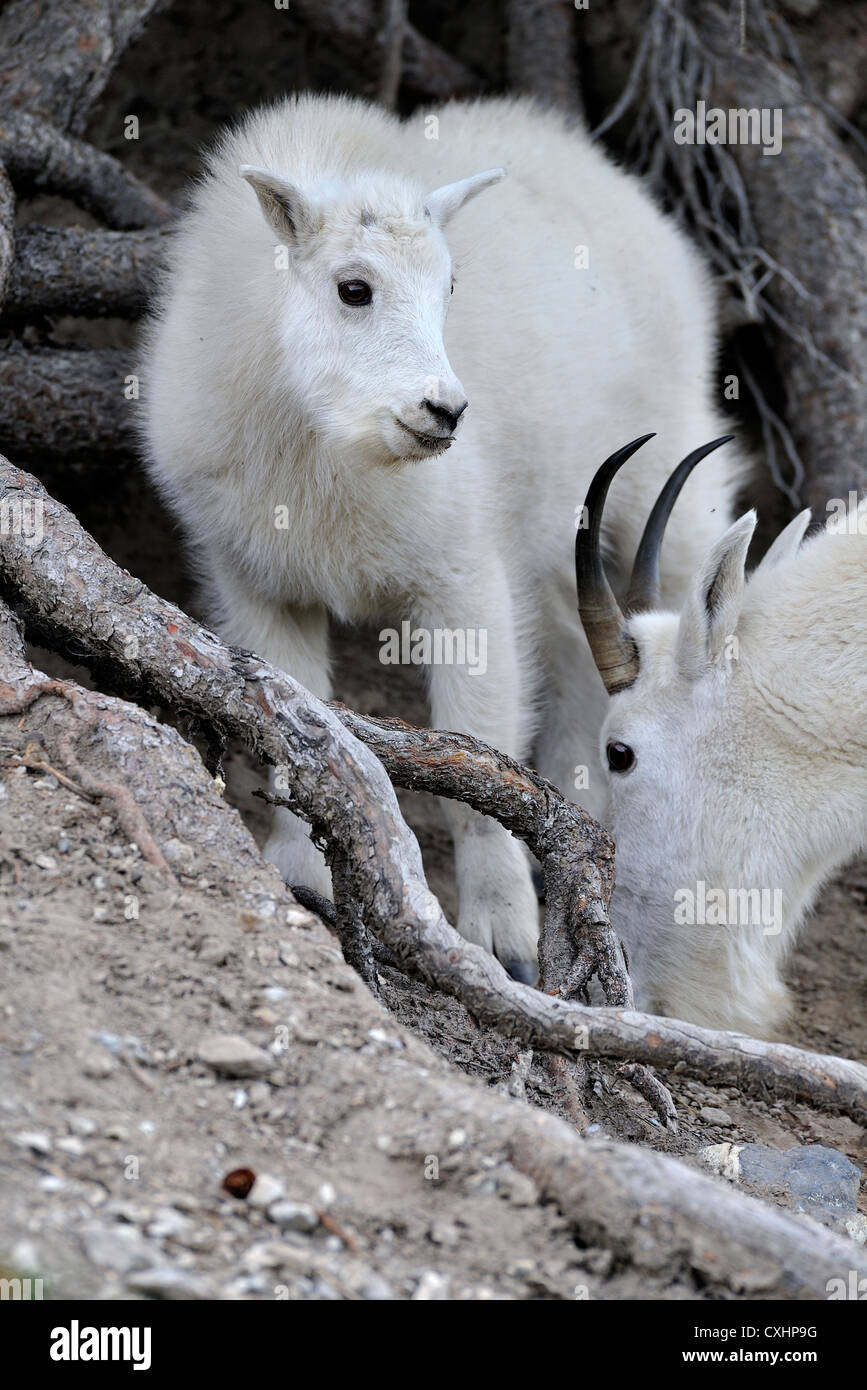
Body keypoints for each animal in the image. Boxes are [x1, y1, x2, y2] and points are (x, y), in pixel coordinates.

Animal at [141, 93, 744, 977]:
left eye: (448, 286)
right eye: (353, 287)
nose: (444, 411)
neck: (322, 438)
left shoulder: (462, 575)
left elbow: (479, 745)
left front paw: (505, 941)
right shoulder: (259, 579)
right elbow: (289, 719)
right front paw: (304, 878)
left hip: (665, 479)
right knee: (575, 653)